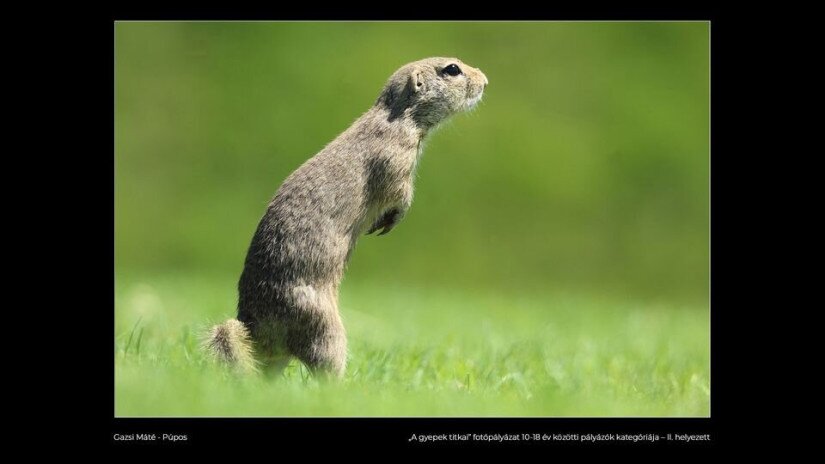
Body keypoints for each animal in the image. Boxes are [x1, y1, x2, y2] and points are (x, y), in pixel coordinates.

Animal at [204, 57, 486, 376]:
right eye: (452, 69)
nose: (485, 80)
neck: (398, 119)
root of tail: (253, 327)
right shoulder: (396, 160)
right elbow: (399, 193)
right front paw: (390, 220)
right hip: (323, 325)